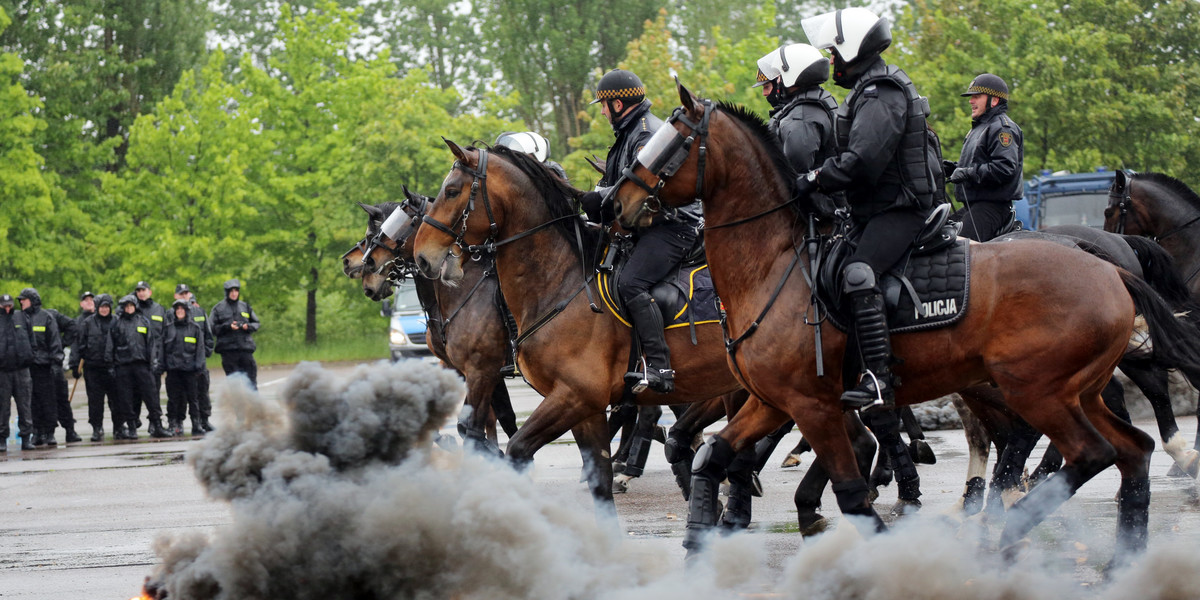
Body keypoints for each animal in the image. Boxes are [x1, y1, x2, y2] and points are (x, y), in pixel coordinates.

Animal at [614, 82, 1200, 564]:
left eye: (671, 142)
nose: (616, 203)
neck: (775, 265)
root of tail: (1109, 265)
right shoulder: (770, 400)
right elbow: (712, 455)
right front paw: (699, 542)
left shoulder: (813, 404)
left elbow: (851, 491)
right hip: (1072, 391)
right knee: (1129, 451)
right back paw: (1116, 551)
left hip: (1038, 390)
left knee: (1088, 449)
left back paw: (1015, 523)